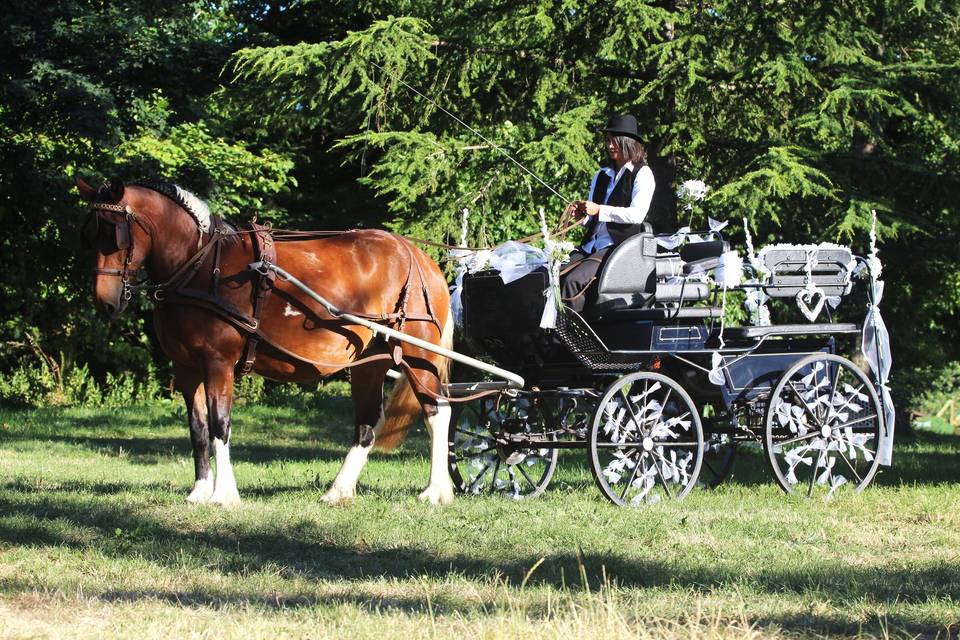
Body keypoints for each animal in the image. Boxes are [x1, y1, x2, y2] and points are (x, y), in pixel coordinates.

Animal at [77, 178, 456, 508]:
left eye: (114, 235)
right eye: (88, 235)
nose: (106, 302)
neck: (199, 267)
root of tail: (420, 257)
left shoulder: (218, 363)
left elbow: (220, 424)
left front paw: (223, 495)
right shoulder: (185, 369)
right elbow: (198, 428)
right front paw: (198, 492)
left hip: (418, 353)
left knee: (438, 411)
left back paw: (436, 491)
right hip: (371, 362)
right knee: (367, 423)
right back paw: (338, 491)